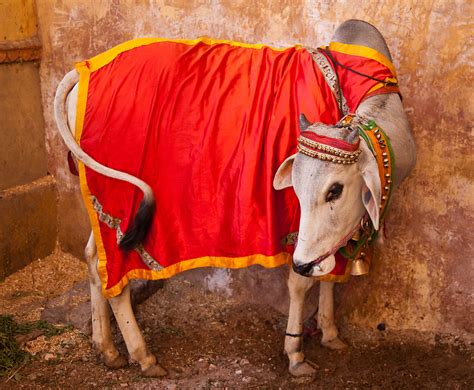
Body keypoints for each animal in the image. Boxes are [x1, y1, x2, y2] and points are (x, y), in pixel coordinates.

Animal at [52, 19, 414, 376]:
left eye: (335, 189)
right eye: (296, 189)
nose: (303, 260)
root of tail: (83, 69)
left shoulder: (329, 233)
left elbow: (327, 275)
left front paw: (330, 333)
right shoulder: (297, 231)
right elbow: (301, 282)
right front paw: (295, 353)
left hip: (103, 204)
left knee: (94, 260)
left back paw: (107, 348)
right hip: (123, 203)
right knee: (115, 276)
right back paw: (143, 355)